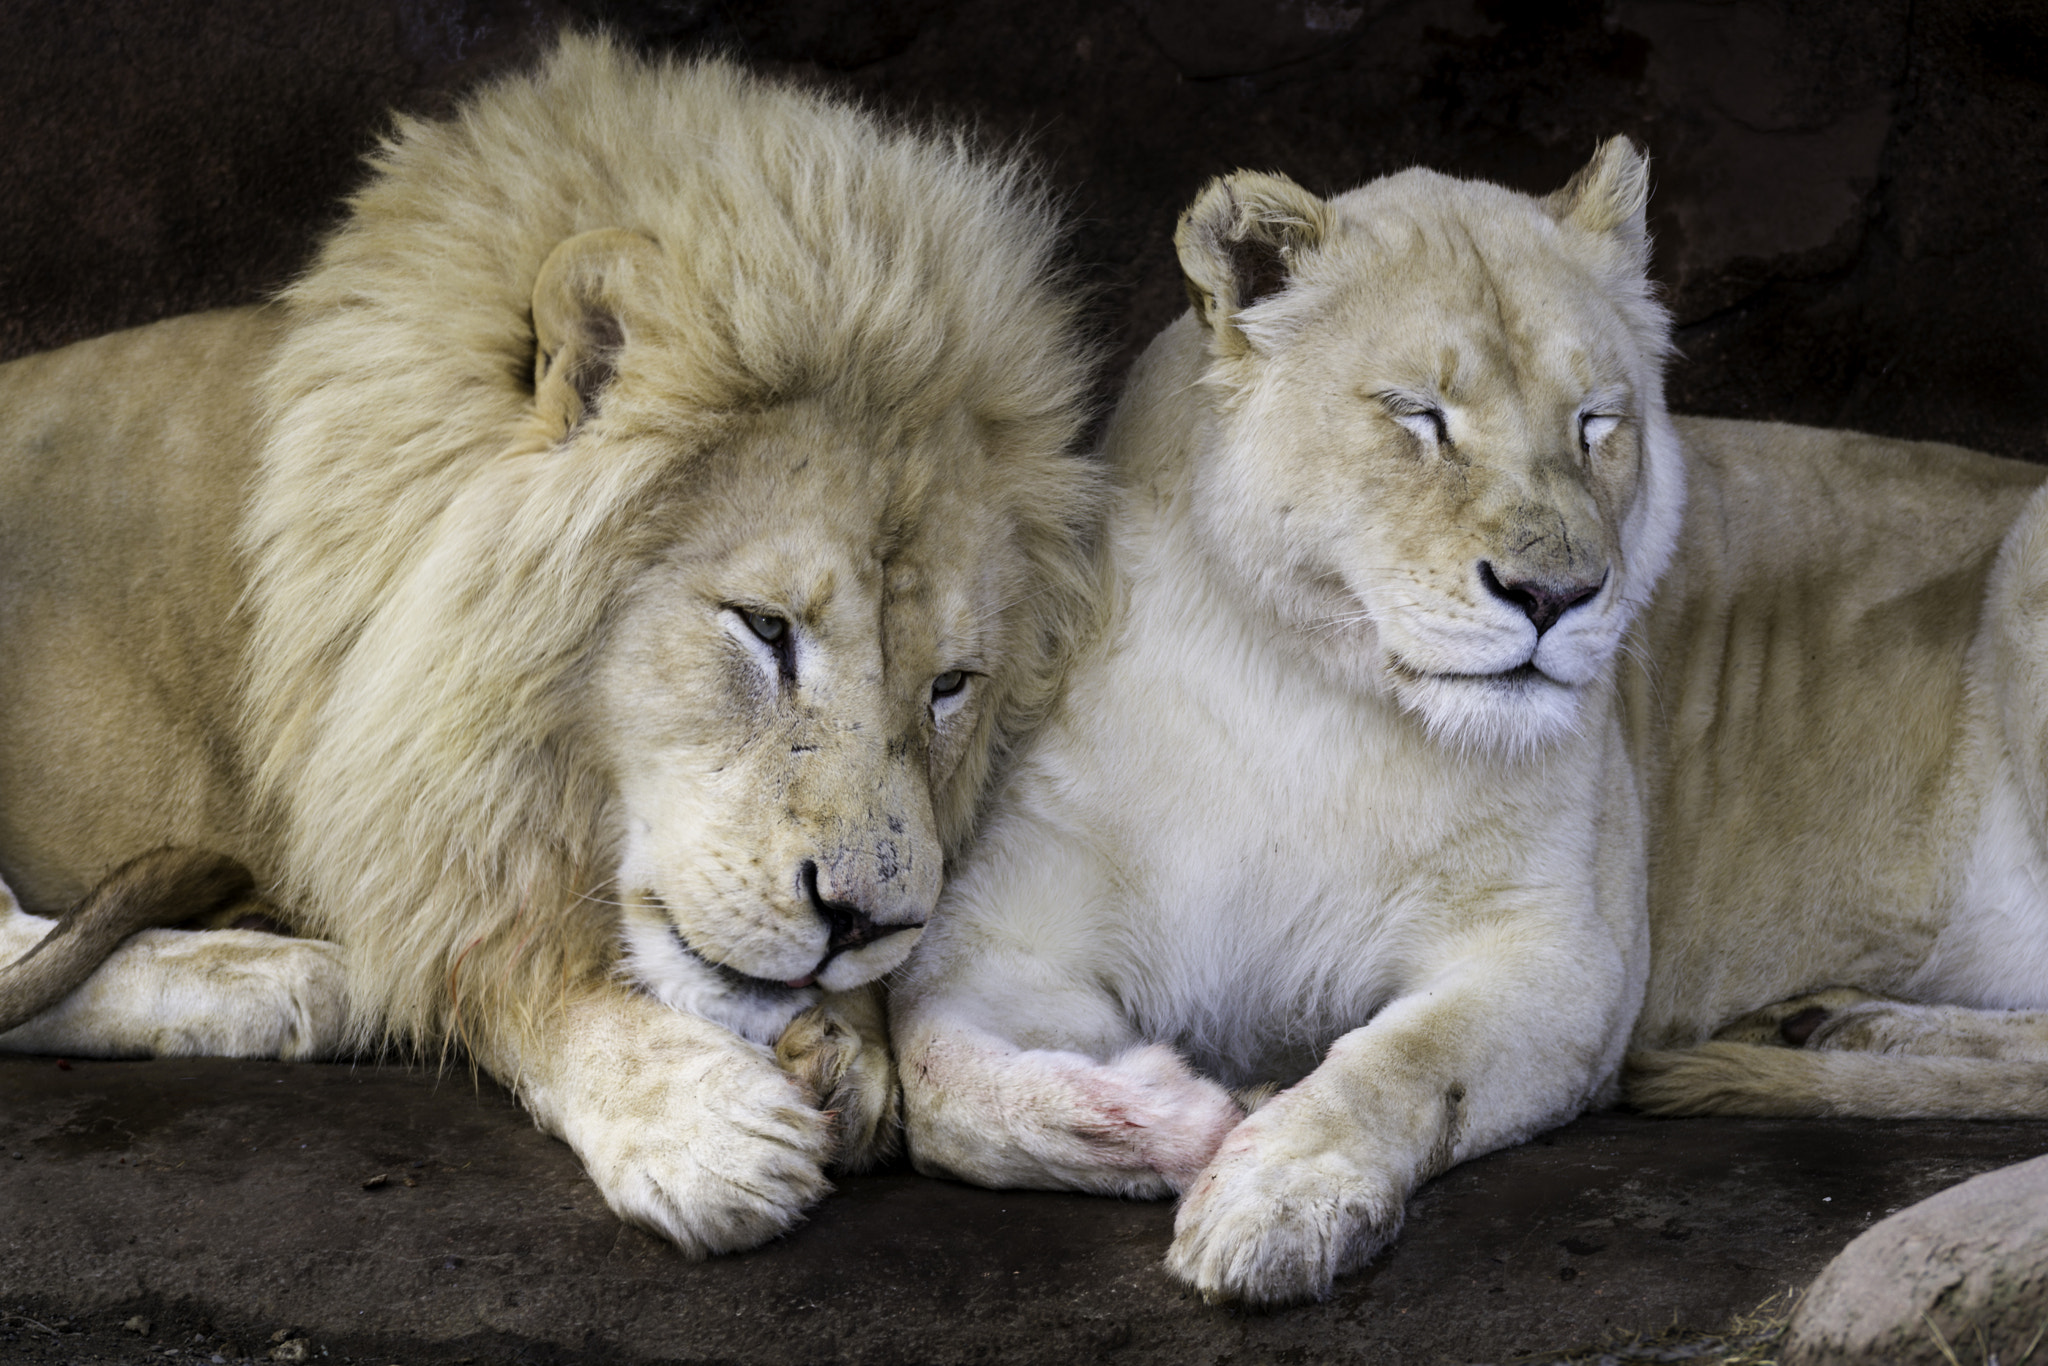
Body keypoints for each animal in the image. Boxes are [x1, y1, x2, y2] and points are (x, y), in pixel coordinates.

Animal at [0, 35, 1101, 1257]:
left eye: (948, 686)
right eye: (766, 628)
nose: (863, 924)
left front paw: (845, 1045)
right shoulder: (400, 817)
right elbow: (502, 971)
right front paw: (693, 1120)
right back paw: (289, 982)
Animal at [888, 138, 1683, 1306]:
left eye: (1596, 424)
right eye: (1416, 414)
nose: (1554, 595)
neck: (1313, 697)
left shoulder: (1569, 955)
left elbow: (1405, 1060)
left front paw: (1277, 1190)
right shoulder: (998, 939)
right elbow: (933, 1083)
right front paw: (1169, 1117)